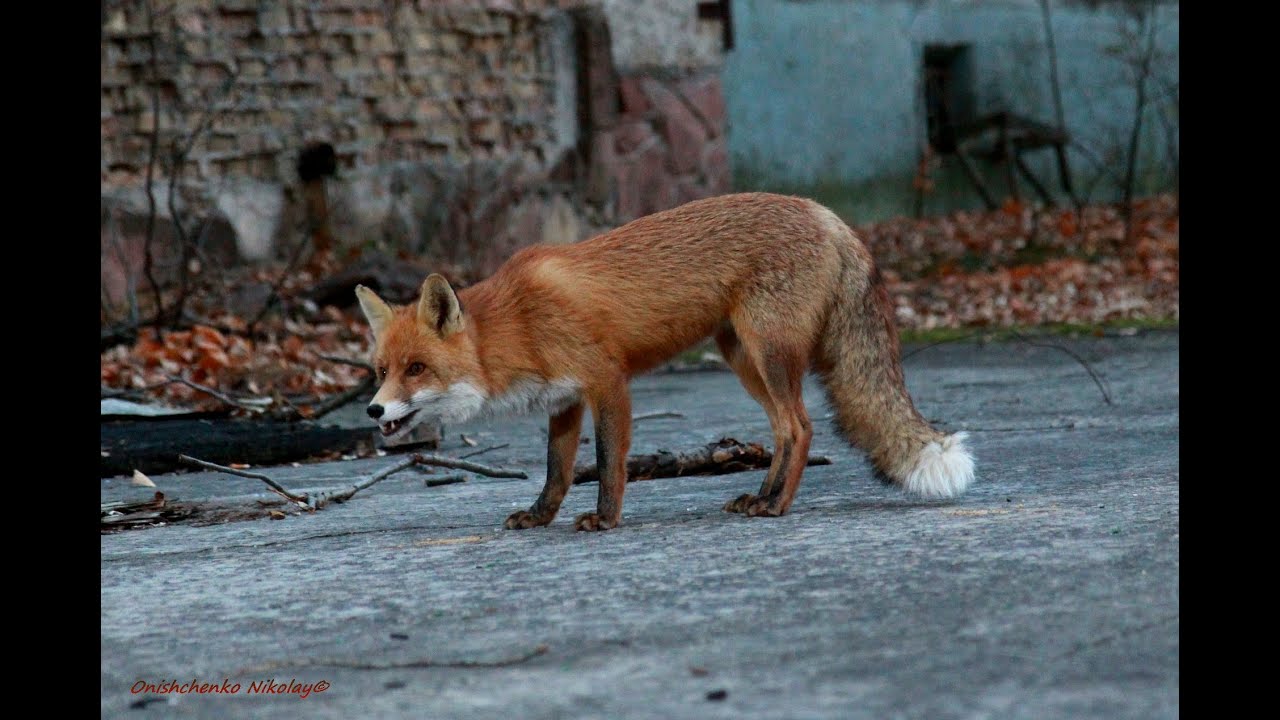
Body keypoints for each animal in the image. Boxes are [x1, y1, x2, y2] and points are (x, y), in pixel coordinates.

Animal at [355, 192, 974, 531]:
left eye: (416, 369)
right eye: (380, 371)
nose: (372, 410)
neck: (519, 323)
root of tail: (829, 215)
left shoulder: (607, 381)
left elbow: (608, 465)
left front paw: (604, 520)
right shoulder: (563, 400)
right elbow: (557, 472)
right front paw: (539, 517)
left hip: (768, 354)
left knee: (801, 426)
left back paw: (776, 506)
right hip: (743, 358)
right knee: (784, 429)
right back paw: (761, 496)